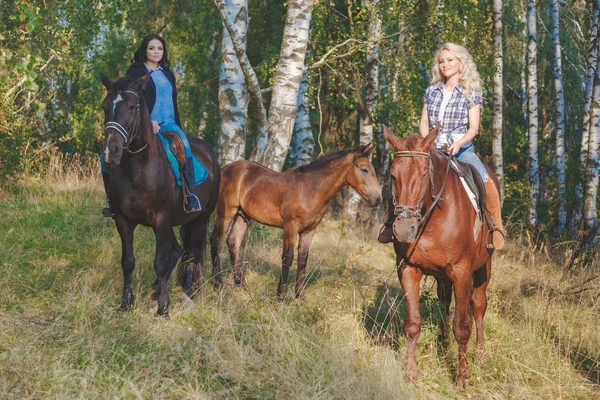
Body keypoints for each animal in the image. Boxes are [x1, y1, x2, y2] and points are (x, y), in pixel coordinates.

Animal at [99, 72, 221, 316]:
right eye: (105, 106)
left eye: (132, 106)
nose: (110, 151)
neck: (138, 168)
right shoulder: (122, 220)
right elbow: (128, 261)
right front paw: (126, 303)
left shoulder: (161, 219)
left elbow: (160, 263)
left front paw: (163, 308)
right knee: (178, 250)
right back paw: (155, 291)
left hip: (200, 219)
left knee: (191, 254)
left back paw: (187, 293)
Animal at [209, 144, 382, 296]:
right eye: (364, 169)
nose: (378, 199)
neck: (310, 189)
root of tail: (224, 168)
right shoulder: (291, 226)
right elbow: (288, 257)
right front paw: (282, 294)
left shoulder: (309, 231)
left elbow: (302, 260)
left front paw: (300, 295)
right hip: (227, 212)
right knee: (216, 240)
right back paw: (218, 283)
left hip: (243, 215)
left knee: (233, 241)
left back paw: (240, 282)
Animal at [384, 124, 496, 388]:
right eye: (393, 175)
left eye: (425, 174)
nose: (404, 230)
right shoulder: (407, 269)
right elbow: (413, 323)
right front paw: (411, 373)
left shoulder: (462, 272)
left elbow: (462, 326)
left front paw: (462, 377)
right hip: (442, 277)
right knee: (444, 301)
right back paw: (443, 343)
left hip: (483, 269)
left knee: (478, 307)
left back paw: (481, 354)